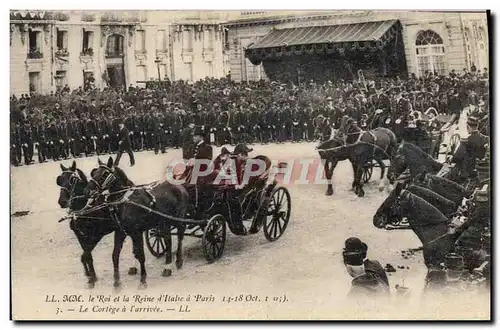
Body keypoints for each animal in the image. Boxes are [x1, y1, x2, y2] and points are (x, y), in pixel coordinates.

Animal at [86, 156, 189, 288]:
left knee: (180, 235)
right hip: (163, 223)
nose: (87, 191)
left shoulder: (137, 232)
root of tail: (179, 186)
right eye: (94, 172)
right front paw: (117, 281)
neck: (125, 201)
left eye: (104, 174)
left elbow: (140, 255)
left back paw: (178, 261)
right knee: (168, 241)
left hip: (177, 220)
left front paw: (143, 280)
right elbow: (116, 254)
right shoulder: (121, 232)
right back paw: (167, 266)